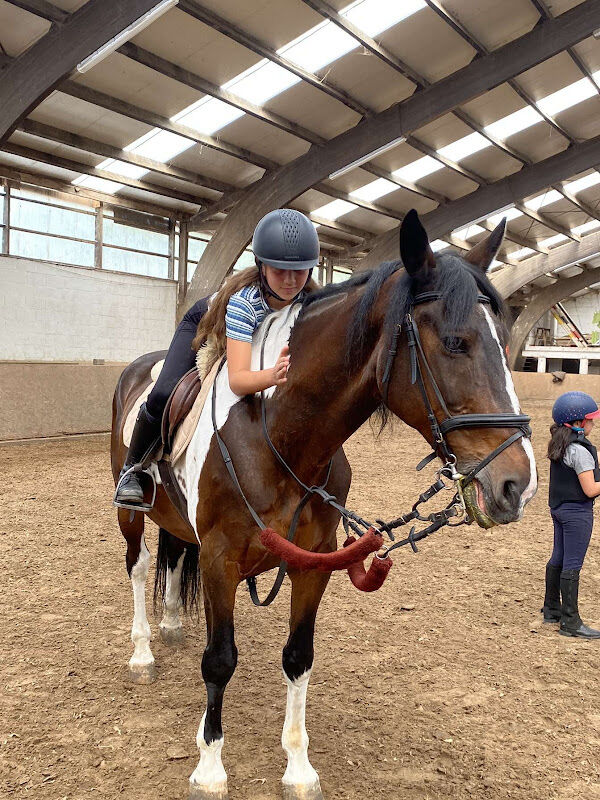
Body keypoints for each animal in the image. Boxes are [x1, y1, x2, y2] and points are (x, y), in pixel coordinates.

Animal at [110, 209, 536, 796]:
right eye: (456, 342)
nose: (518, 484)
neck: (279, 433)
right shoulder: (221, 557)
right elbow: (219, 661)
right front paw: (210, 767)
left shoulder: (314, 561)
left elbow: (298, 657)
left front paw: (297, 766)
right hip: (131, 512)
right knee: (139, 565)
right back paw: (143, 651)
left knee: (173, 555)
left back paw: (172, 624)